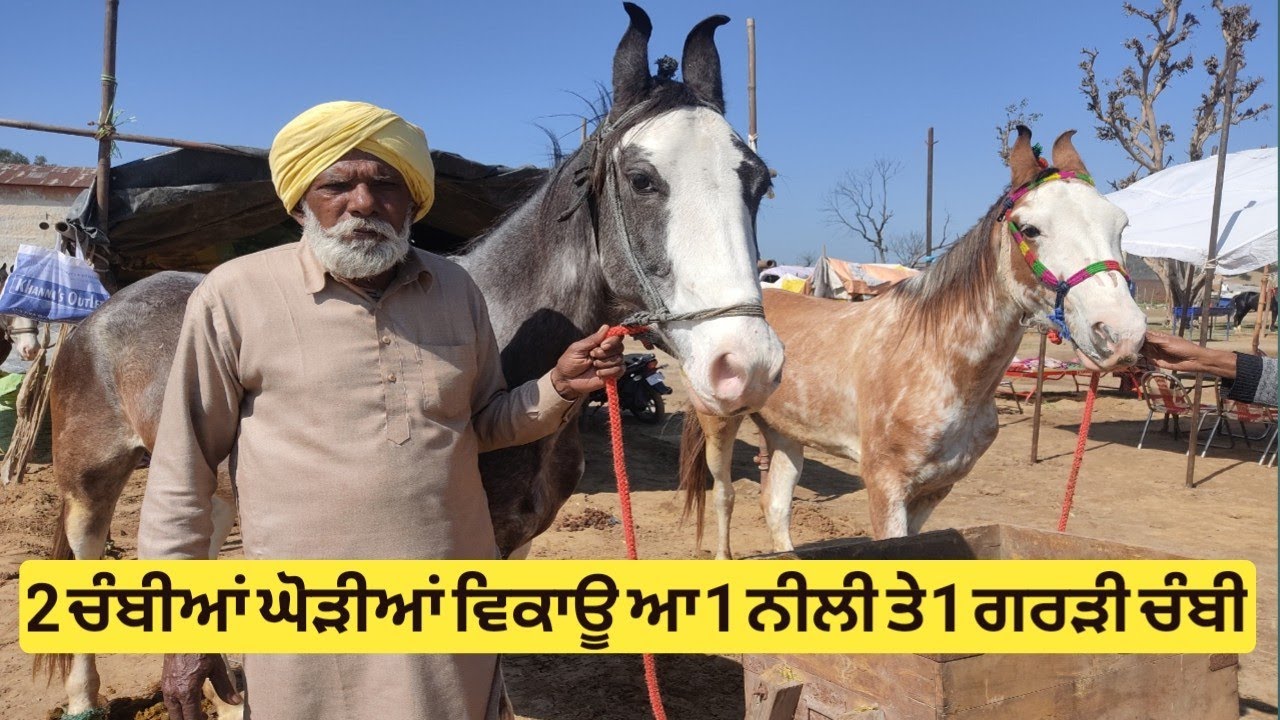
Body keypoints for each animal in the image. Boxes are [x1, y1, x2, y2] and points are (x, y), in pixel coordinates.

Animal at [679, 126, 1148, 559]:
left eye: (1121, 224)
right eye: (1029, 228)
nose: (1121, 332)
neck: (937, 362)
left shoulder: (935, 488)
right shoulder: (886, 486)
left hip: (786, 434)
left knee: (776, 506)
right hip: (719, 423)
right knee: (725, 496)